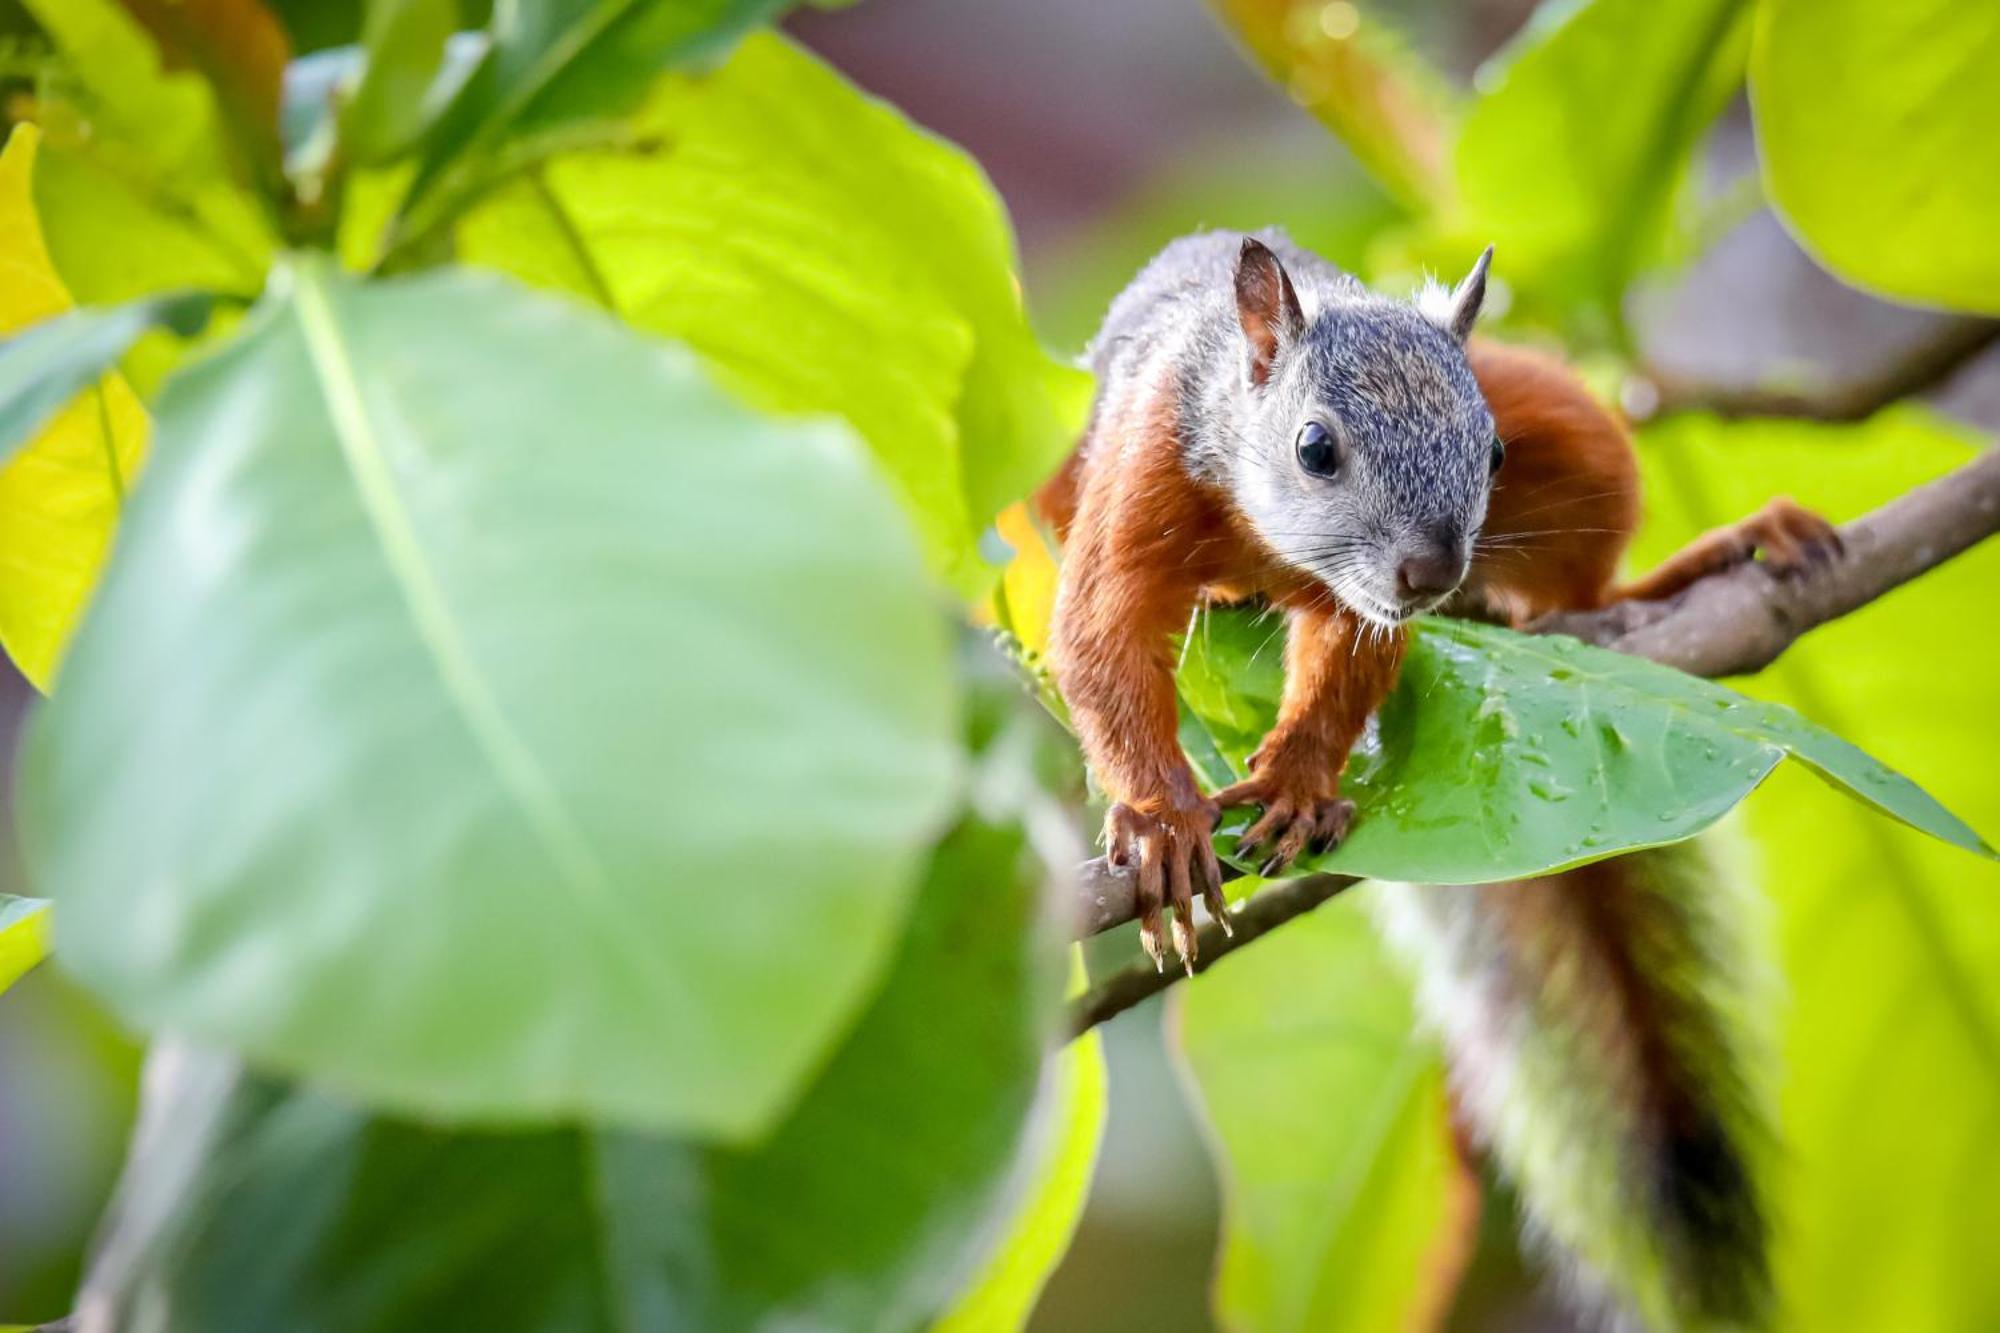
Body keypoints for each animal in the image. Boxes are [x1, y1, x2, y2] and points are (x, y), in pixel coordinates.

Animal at [1040, 231, 1832, 1328]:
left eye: (1489, 452)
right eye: (1314, 447)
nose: (1431, 572)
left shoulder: (1369, 598)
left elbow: (1349, 656)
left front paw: (1297, 781)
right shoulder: (1147, 459)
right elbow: (1101, 631)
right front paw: (1161, 821)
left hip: (1575, 429)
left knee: (1581, 584)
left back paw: (1672, 575)